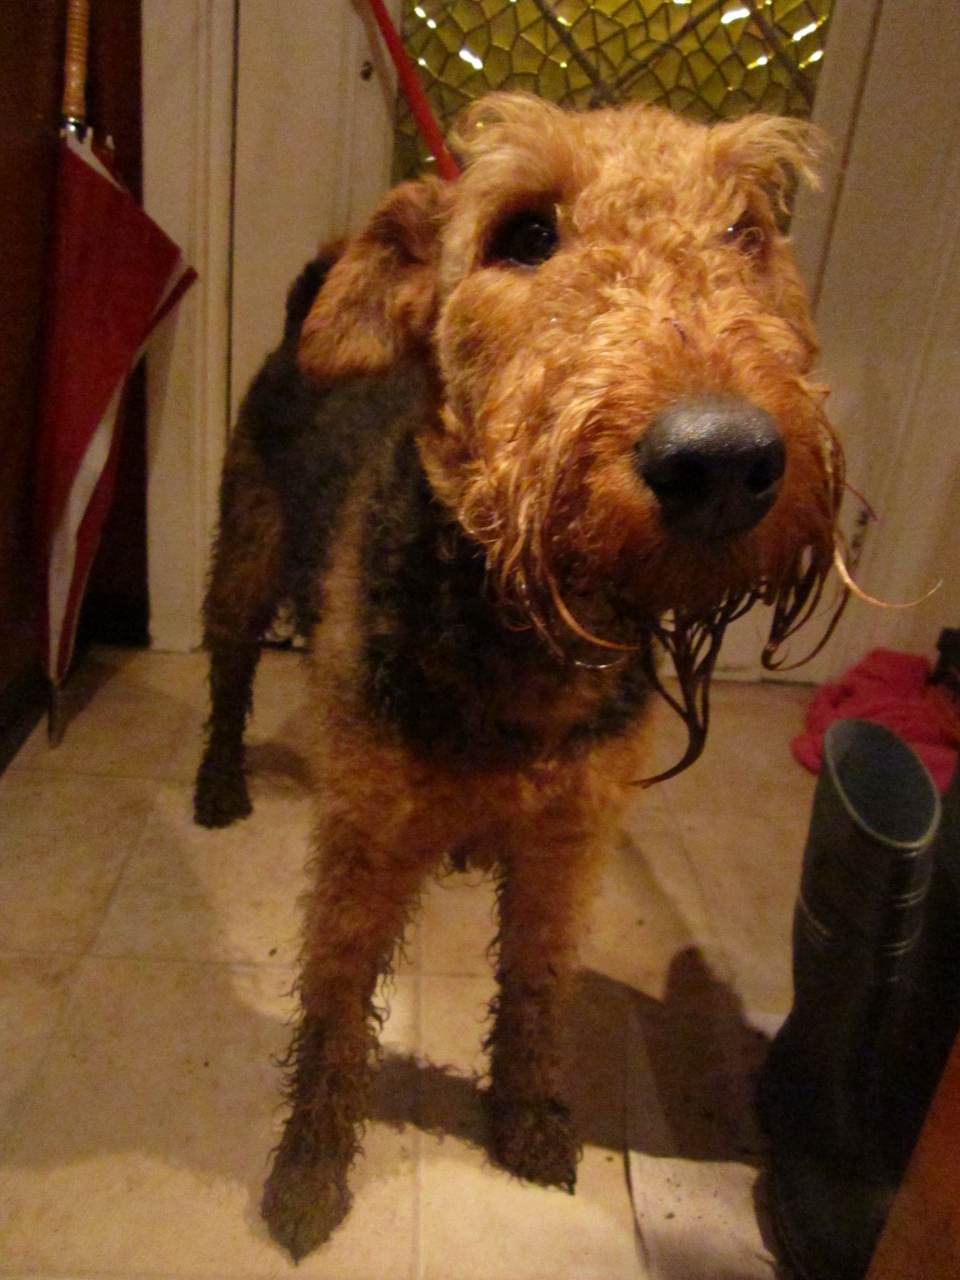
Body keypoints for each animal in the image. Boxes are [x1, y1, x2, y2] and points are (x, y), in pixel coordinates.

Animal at [194, 93, 844, 1260]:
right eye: (526, 233)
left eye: (747, 232)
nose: (723, 459)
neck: (527, 638)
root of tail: (307, 305)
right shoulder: (363, 847)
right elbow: (334, 1010)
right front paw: (307, 1176)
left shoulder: (566, 841)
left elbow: (537, 989)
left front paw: (532, 1123)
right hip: (246, 561)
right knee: (227, 679)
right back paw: (218, 785)